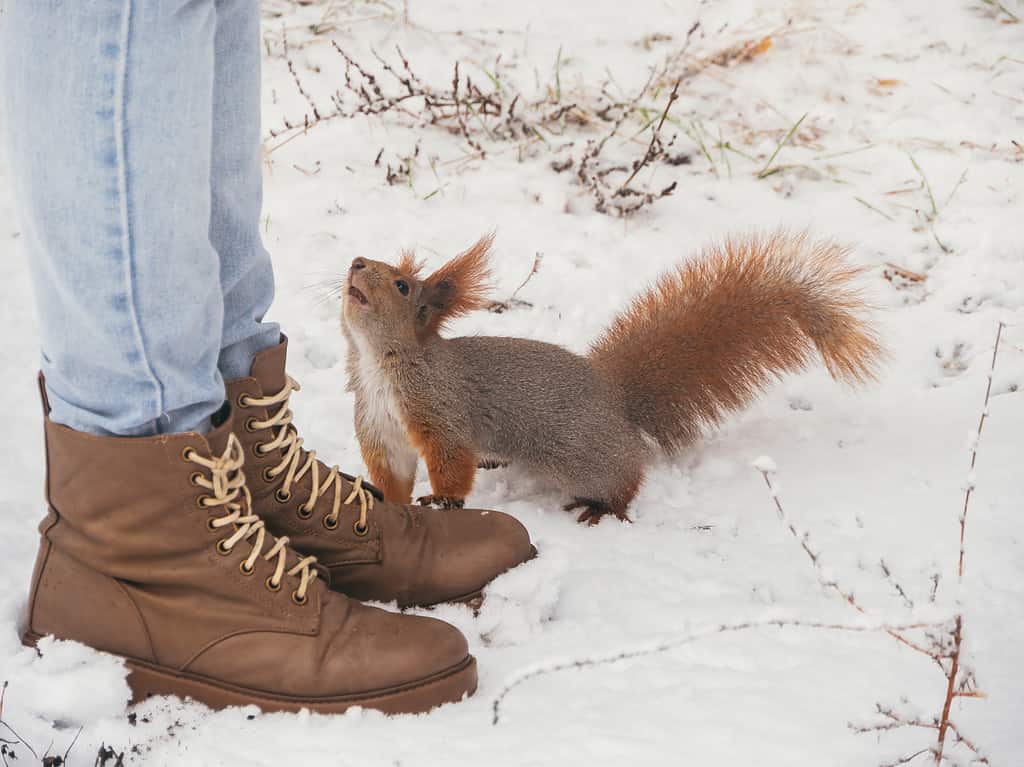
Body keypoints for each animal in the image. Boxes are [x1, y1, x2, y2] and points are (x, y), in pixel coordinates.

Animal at [339, 230, 884, 524]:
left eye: (401, 285)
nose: (356, 261)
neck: (378, 362)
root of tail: (613, 396)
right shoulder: (379, 428)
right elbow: (392, 474)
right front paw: (381, 500)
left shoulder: (442, 409)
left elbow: (451, 460)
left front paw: (445, 499)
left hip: (578, 453)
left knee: (626, 476)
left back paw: (604, 507)